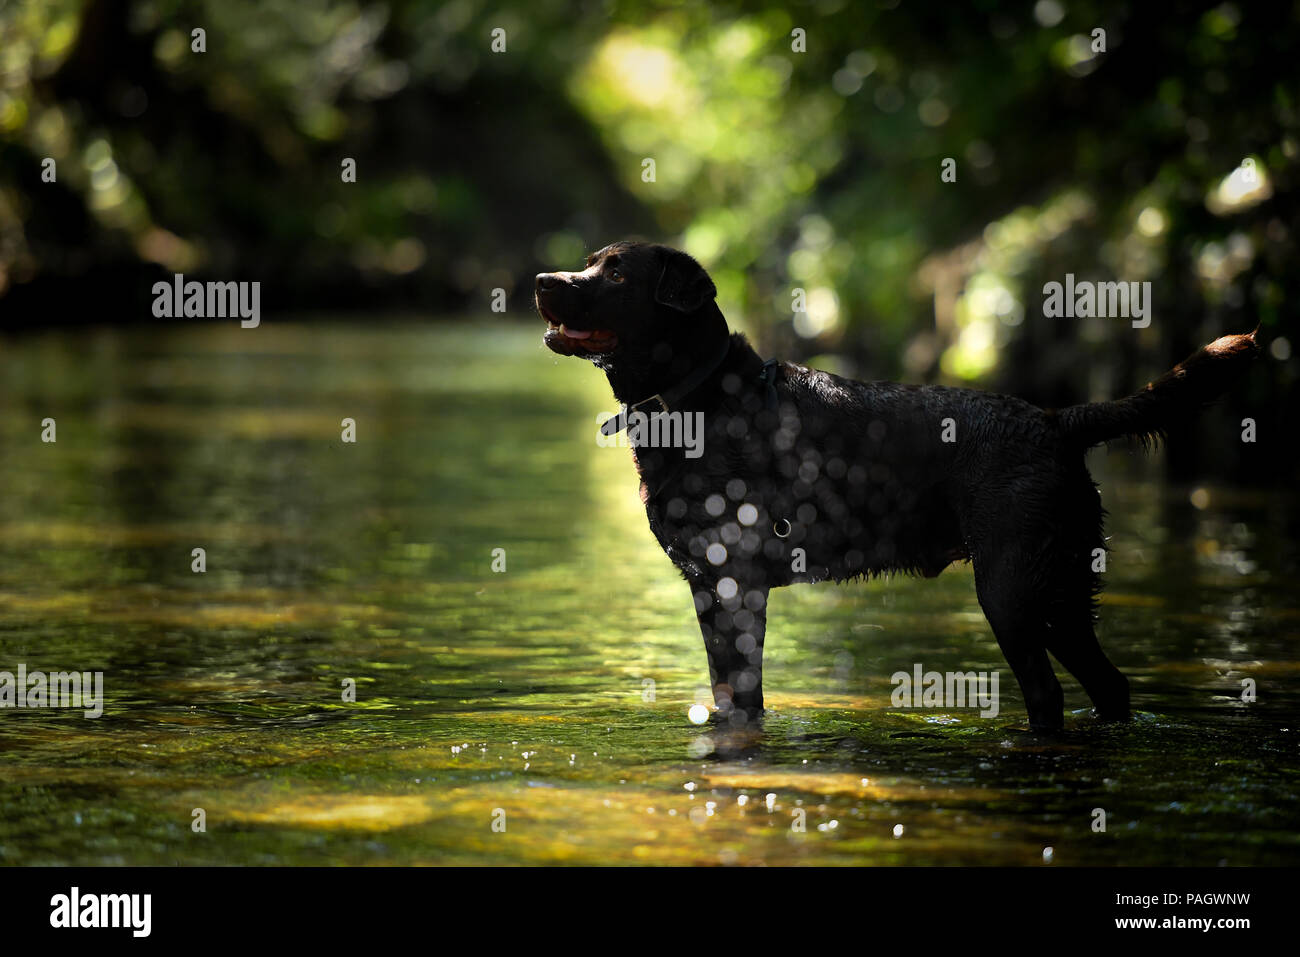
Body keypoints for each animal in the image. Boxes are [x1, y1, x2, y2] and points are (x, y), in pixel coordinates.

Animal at [533, 243, 1253, 728]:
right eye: (589, 263)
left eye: (615, 272)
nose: (541, 279)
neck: (698, 399)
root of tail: (1056, 420)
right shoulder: (711, 589)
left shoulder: (736, 585)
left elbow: (744, 697)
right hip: (1063, 592)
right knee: (1111, 686)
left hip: (1012, 589)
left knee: (1048, 694)